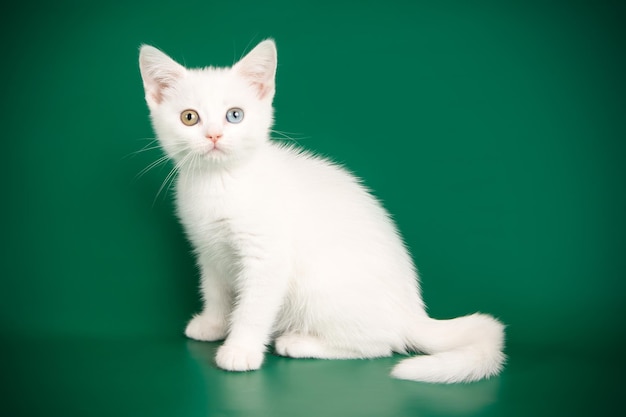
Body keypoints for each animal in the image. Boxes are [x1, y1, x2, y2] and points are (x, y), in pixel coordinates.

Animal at [139, 39, 504, 384]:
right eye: (189, 117)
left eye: (235, 115)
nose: (214, 135)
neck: (219, 182)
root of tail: (412, 314)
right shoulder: (208, 250)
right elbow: (215, 290)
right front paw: (213, 324)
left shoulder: (267, 256)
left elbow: (252, 309)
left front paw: (240, 350)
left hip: (322, 288)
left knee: (380, 345)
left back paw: (299, 343)